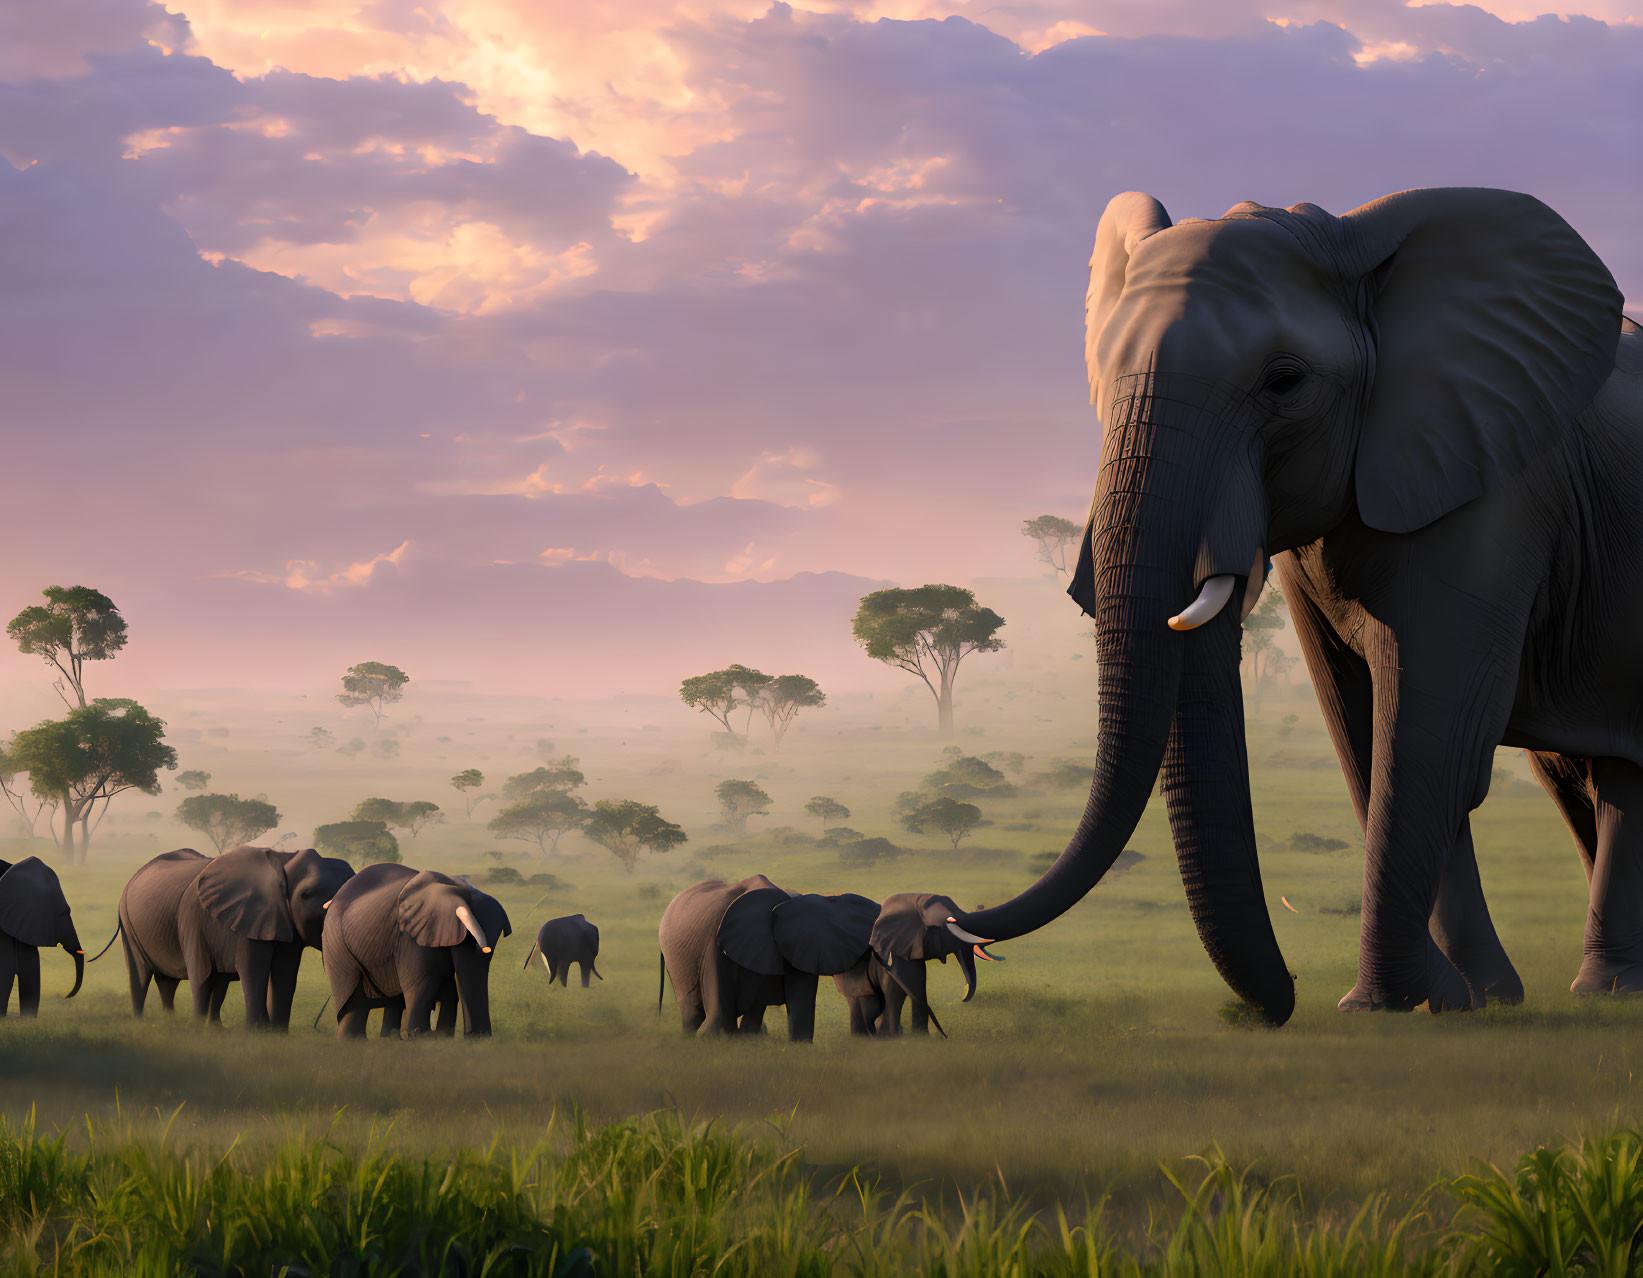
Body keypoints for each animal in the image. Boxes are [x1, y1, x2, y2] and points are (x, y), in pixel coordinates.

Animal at [326, 854, 512, 1038]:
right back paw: (354, 1041)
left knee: (394, 1001)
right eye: (466, 937)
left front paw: (442, 1037)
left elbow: (447, 988)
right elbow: (424, 981)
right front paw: (422, 1037)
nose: (478, 1037)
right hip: (337, 944)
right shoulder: (409, 935)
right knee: (353, 1000)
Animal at [946, 183, 1636, 1018]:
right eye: (1101, 380)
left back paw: (1607, 990)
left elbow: (1430, 732)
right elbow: (1359, 728)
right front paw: (1461, 1001)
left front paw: (1388, 1004)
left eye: (1284, 382)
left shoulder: (1494, 487)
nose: (950, 917)